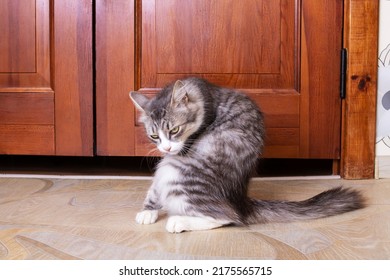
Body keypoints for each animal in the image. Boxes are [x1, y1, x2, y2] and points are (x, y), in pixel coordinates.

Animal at [129, 77, 364, 233]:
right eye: (154, 135)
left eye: (175, 130)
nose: (166, 148)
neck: (202, 93)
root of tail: (240, 201)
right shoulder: (166, 160)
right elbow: (154, 189)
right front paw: (148, 211)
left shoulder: (175, 156)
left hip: (177, 173)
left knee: (227, 216)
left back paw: (179, 222)